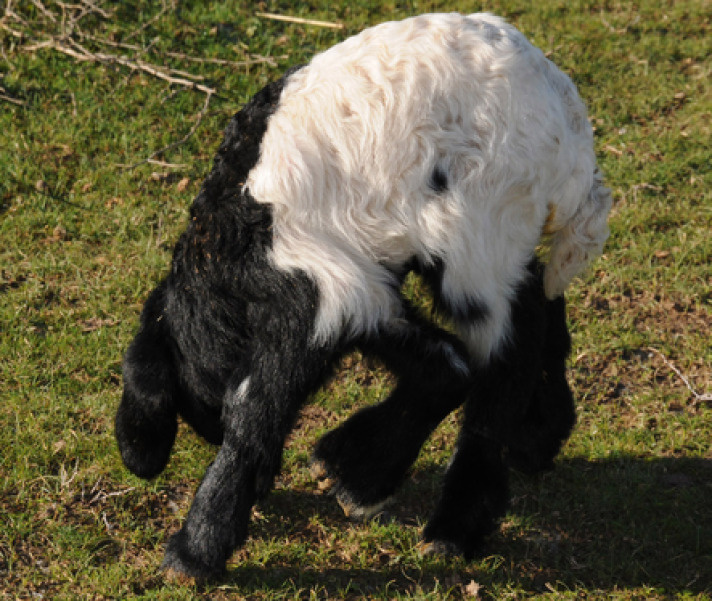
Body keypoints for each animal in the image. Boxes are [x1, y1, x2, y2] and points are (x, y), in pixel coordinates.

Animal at [117, 12, 612, 576]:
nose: (210, 433)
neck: (221, 256)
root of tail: (570, 129)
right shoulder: (357, 280)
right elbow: (442, 361)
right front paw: (354, 471)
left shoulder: (311, 286)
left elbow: (257, 405)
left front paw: (196, 549)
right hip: (503, 243)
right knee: (542, 305)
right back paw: (538, 437)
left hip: (482, 233)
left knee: (506, 359)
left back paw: (454, 526)